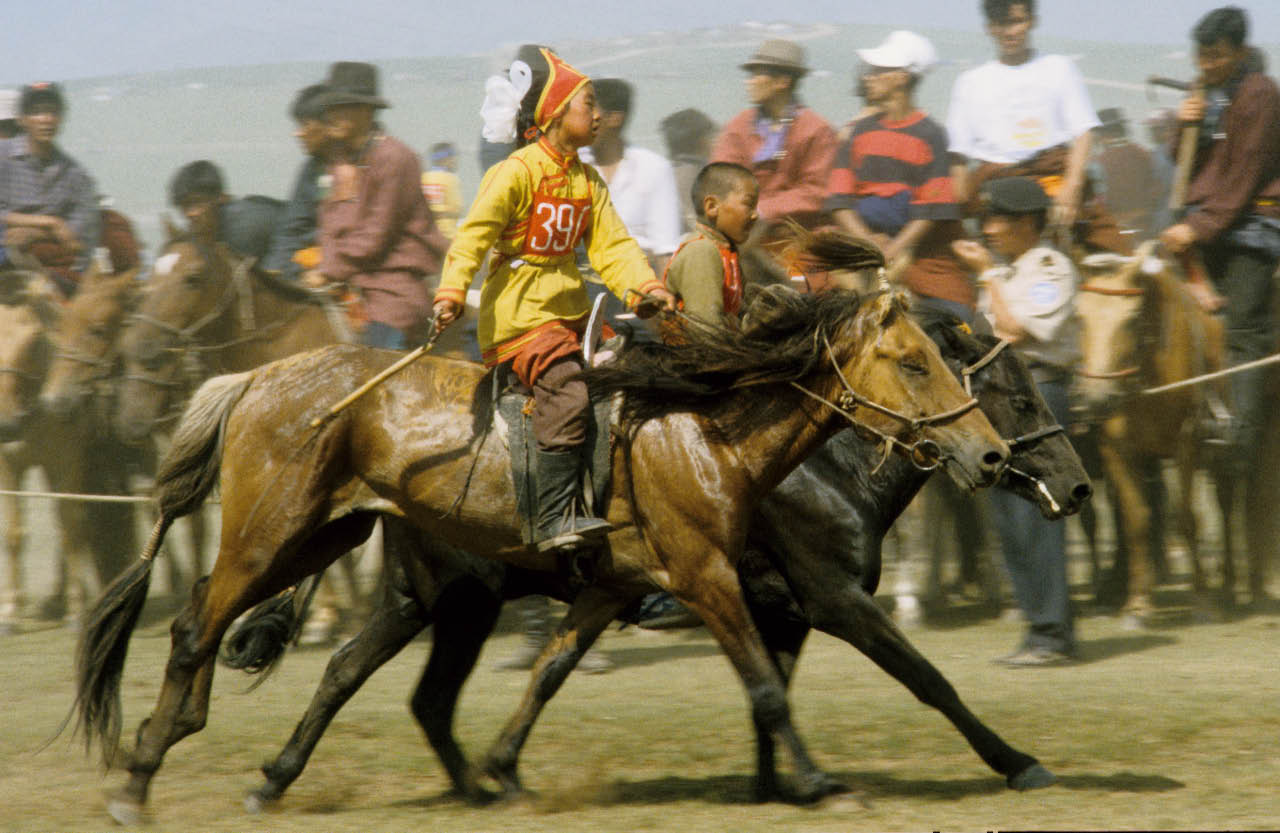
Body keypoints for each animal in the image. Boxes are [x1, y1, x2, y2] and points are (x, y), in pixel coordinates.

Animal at [74, 285, 1018, 818]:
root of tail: (255, 379)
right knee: (197, 622)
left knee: (308, 652)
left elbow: (550, 670)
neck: (705, 429)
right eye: (912, 362)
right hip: (273, 535)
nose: (991, 455)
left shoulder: (613, 586)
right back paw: (140, 771)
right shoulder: (719, 580)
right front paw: (824, 782)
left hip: (332, 541)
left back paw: (254, 767)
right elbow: (774, 687)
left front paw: (505, 770)